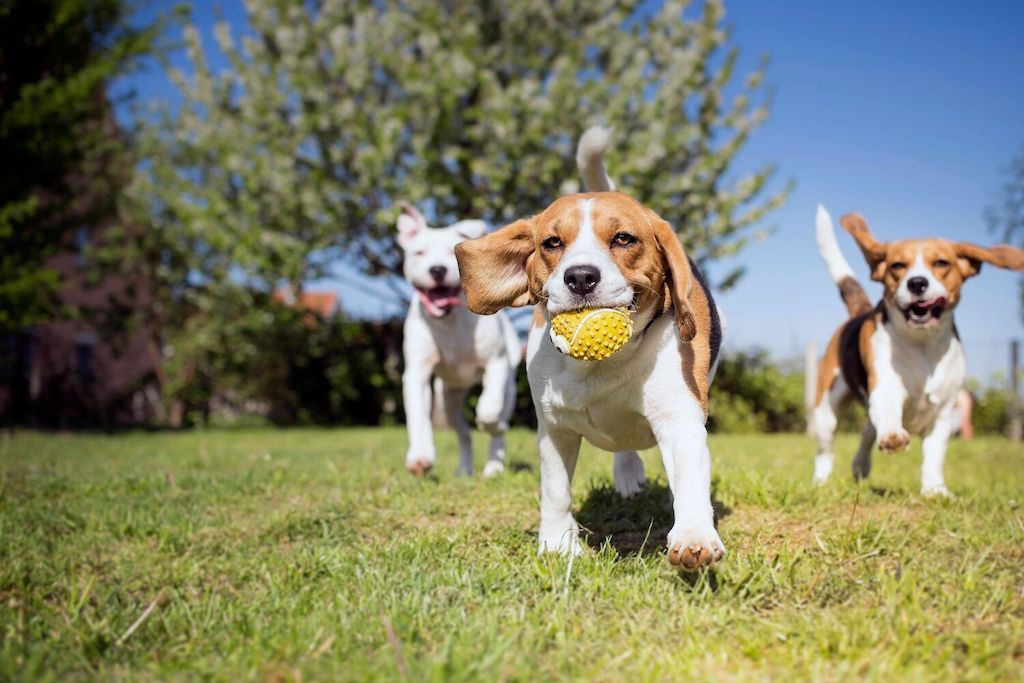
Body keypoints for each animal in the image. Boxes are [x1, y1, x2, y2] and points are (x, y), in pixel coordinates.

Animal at [393, 204, 520, 475]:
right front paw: (420, 457)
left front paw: (491, 424)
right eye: (419, 252)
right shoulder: (417, 373)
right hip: (448, 397)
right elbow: (418, 416)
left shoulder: (496, 364)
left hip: (509, 387)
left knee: (497, 421)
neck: (449, 321)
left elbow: (488, 410)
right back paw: (464, 469)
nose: (437, 269)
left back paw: (493, 466)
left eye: (452, 253)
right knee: (463, 432)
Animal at [456, 129, 729, 573]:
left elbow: (689, 481)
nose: (581, 276)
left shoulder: (679, 419)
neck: (601, 366)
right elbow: (555, 491)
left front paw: (694, 537)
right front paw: (557, 544)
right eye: (552, 242)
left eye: (623, 239)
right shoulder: (554, 428)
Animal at [811, 205, 1019, 493]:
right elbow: (888, 414)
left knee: (867, 431)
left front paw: (934, 490)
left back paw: (860, 467)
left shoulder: (944, 411)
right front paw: (893, 437)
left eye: (941, 263)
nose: (917, 283)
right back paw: (821, 480)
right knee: (826, 449)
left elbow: (934, 455)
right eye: (897, 266)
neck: (923, 345)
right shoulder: (886, 387)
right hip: (825, 410)